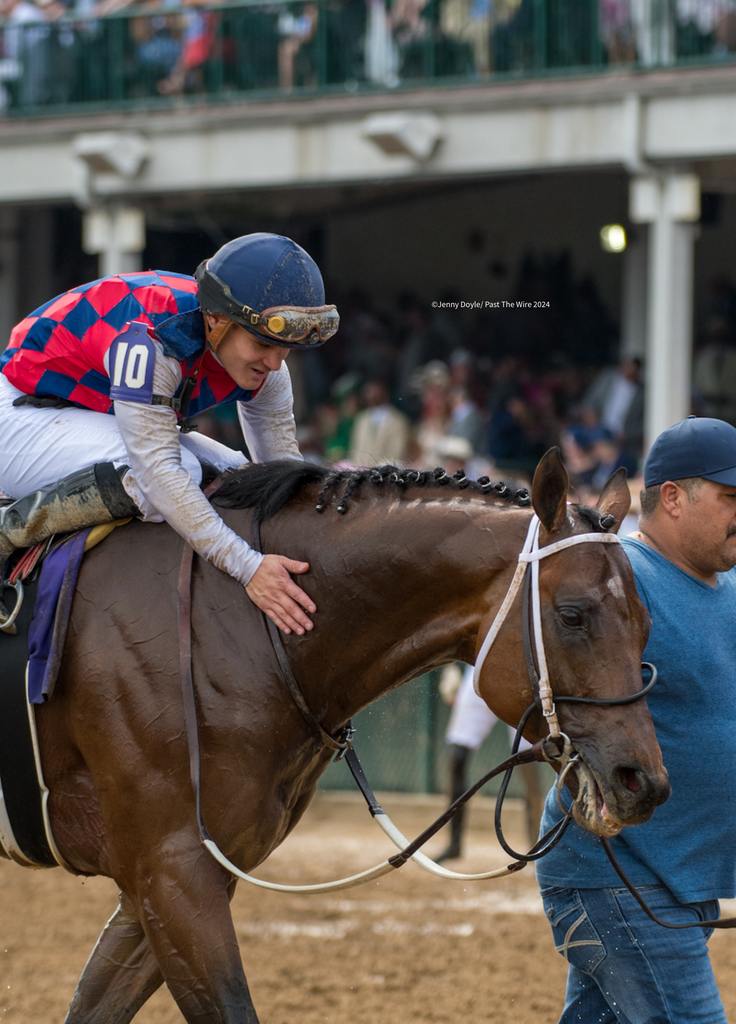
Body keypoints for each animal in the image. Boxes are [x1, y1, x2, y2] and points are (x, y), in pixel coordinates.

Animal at [10, 448, 667, 1024]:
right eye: (573, 614)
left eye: (646, 620)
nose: (644, 781)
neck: (238, 623)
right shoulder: (172, 870)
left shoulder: (177, 877)